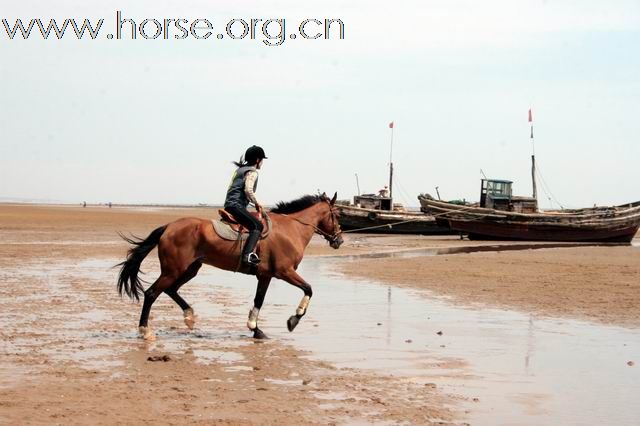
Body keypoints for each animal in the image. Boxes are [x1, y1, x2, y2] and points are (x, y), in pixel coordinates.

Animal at [117, 193, 342, 340]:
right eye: (337, 215)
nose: (339, 240)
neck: (292, 228)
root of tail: (169, 227)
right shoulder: (284, 271)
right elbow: (309, 289)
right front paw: (292, 321)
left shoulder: (265, 276)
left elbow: (259, 300)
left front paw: (256, 329)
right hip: (173, 270)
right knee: (151, 293)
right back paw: (145, 331)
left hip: (190, 269)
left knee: (170, 290)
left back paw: (189, 317)